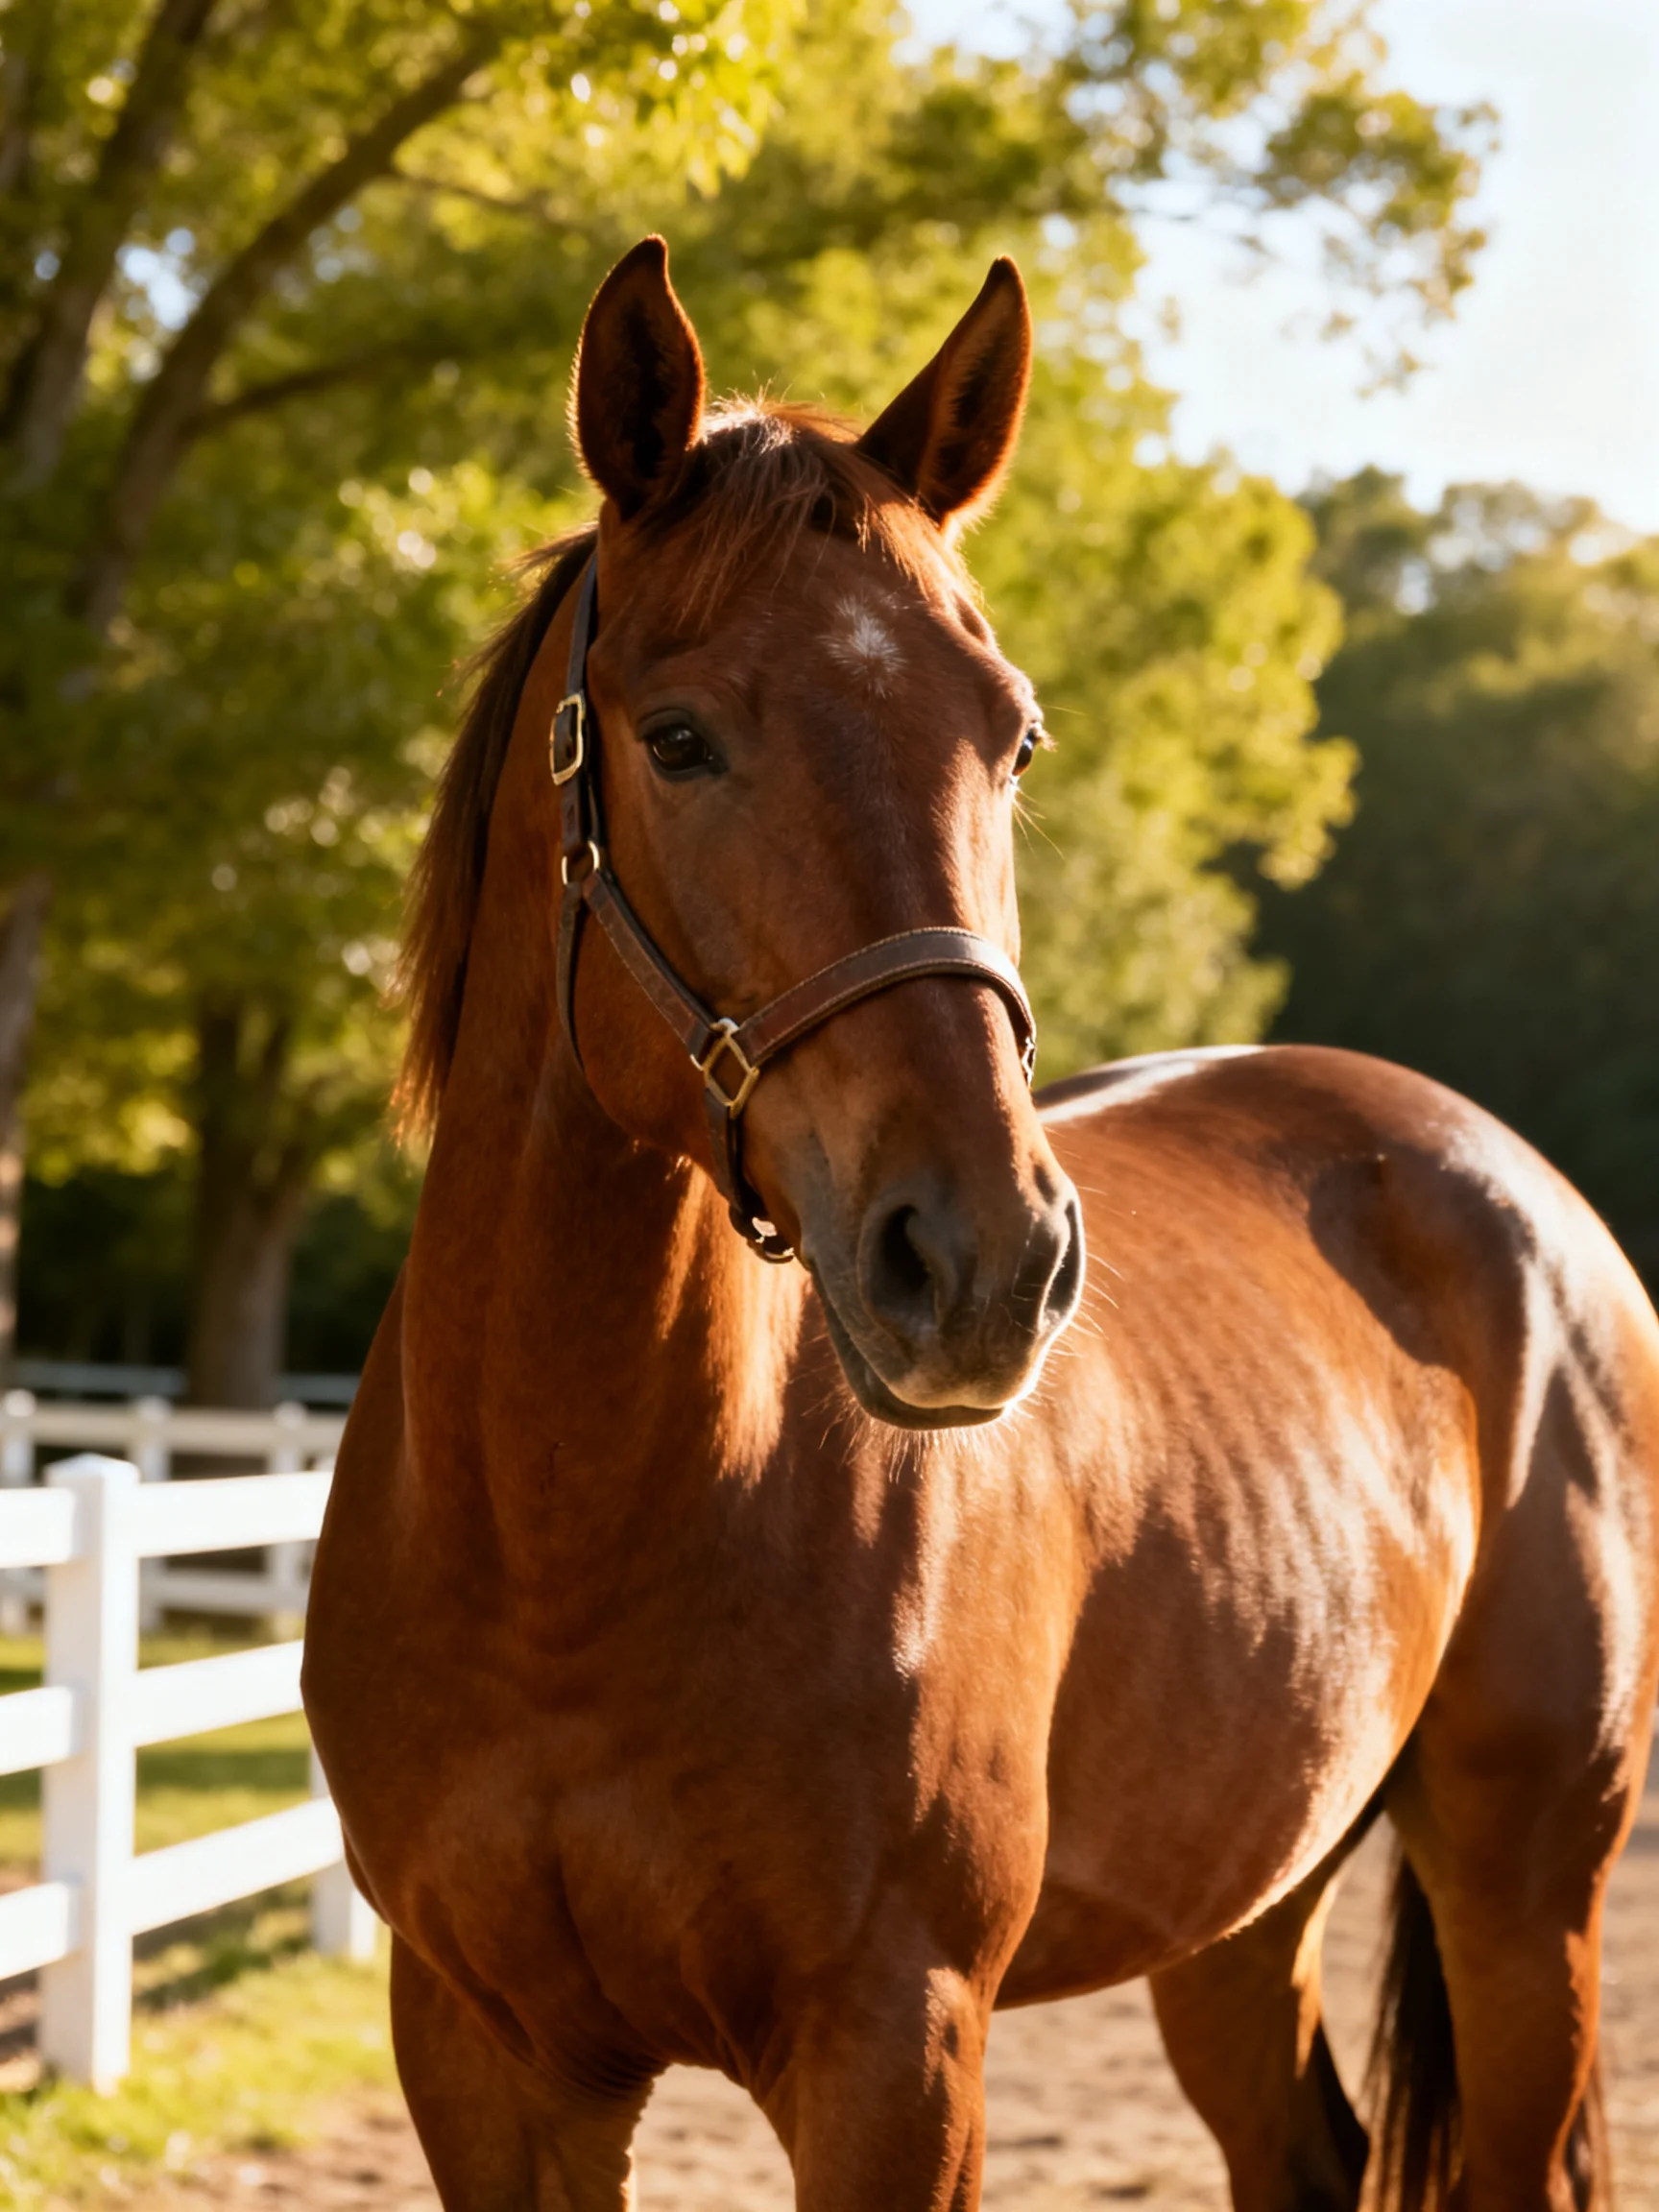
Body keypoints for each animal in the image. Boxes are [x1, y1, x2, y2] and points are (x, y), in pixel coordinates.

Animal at [303, 237, 1659, 2212]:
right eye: (677, 738)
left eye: (1009, 739)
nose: (984, 1267)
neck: (565, 1544)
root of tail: (1509, 1189)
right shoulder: (488, 2061)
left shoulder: (897, 2050)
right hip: (1241, 1904)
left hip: (1523, 1886)